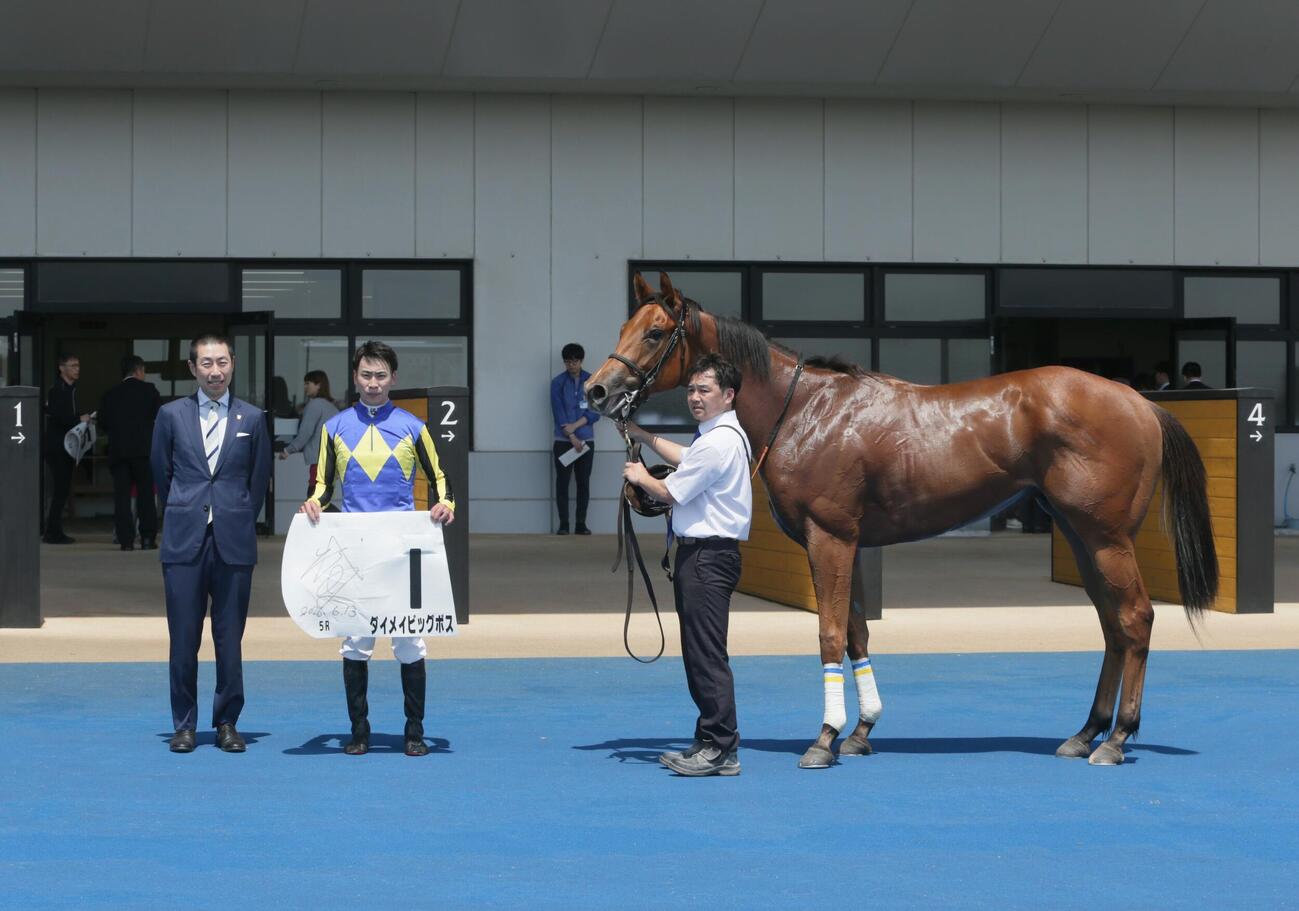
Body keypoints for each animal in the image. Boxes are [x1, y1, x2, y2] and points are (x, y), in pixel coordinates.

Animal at [585, 271, 1218, 768]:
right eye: (623, 328)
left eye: (655, 332)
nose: (597, 391)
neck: (806, 411)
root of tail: (1138, 400)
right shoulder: (846, 543)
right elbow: (857, 633)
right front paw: (861, 731)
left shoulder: (831, 538)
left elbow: (830, 632)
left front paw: (824, 739)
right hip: (1081, 536)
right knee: (1112, 625)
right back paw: (1085, 733)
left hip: (1106, 536)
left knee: (1135, 618)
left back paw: (1116, 739)